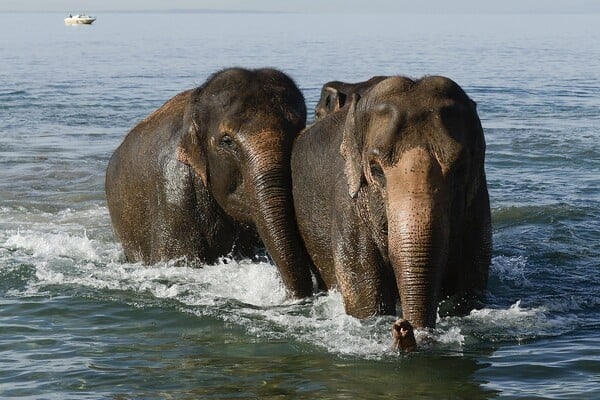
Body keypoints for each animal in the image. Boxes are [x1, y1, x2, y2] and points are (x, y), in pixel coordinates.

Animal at [292, 75, 492, 328]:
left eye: (460, 169)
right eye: (376, 170)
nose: (403, 326)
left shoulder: (477, 204)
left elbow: (470, 282)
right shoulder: (349, 203)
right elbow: (364, 297)